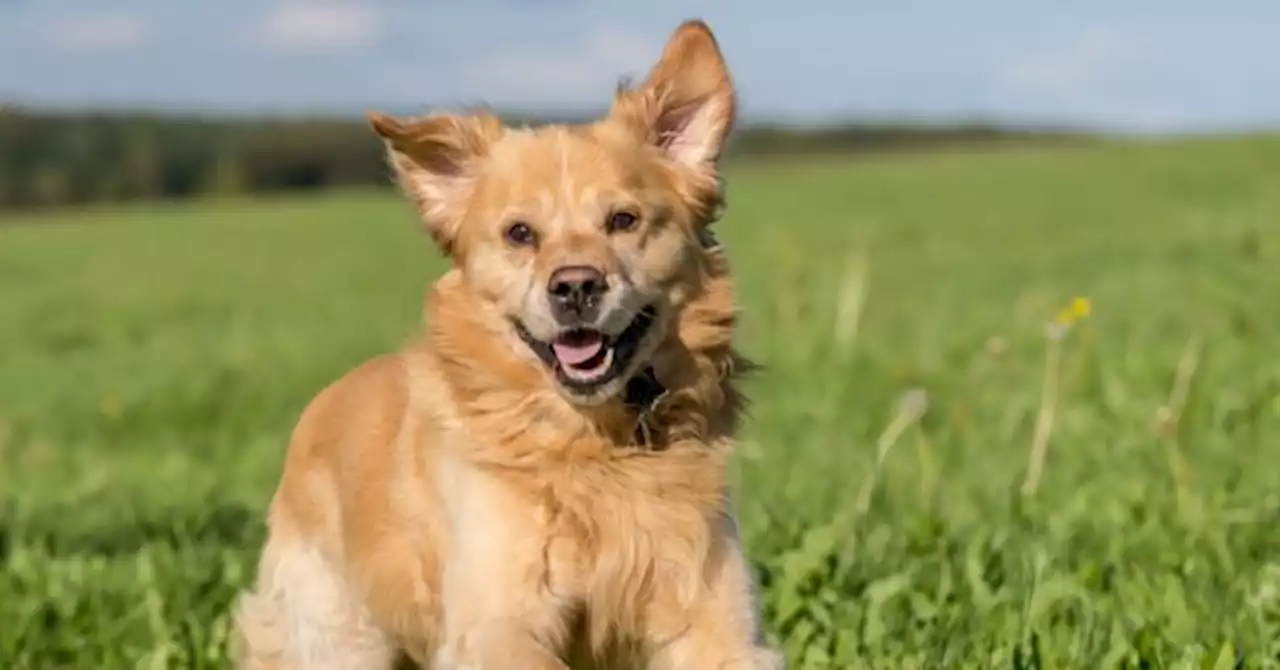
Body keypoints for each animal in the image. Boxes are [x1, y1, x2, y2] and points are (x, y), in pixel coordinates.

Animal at [234, 20, 783, 670]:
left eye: (623, 220)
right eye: (520, 233)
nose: (575, 287)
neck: (592, 443)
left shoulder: (713, 611)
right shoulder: (499, 619)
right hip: (335, 633)